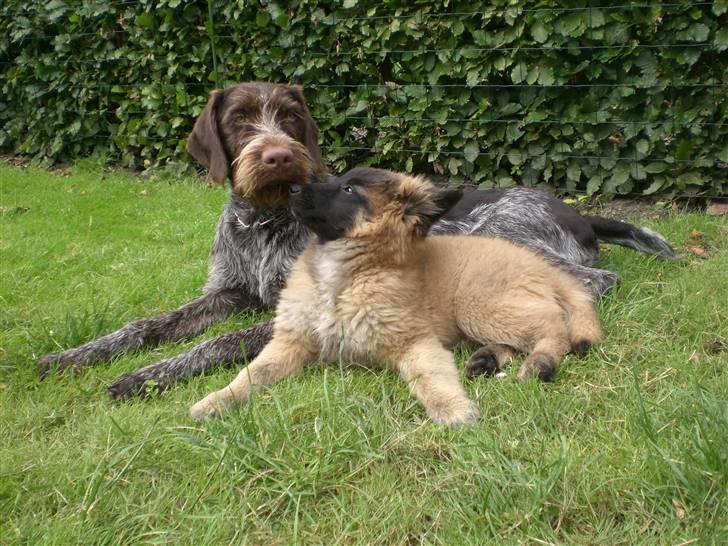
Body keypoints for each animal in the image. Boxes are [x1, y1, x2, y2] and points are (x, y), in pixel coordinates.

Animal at [189, 168, 604, 422]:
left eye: (348, 189)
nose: (290, 186)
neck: (341, 280)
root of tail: (545, 269)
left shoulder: (415, 342)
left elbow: (429, 377)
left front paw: (454, 409)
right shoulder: (289, 342)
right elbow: (251, 373)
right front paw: (215, 401)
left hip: (479, 305)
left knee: (554, 326)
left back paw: (541, 362)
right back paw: (487, 359)